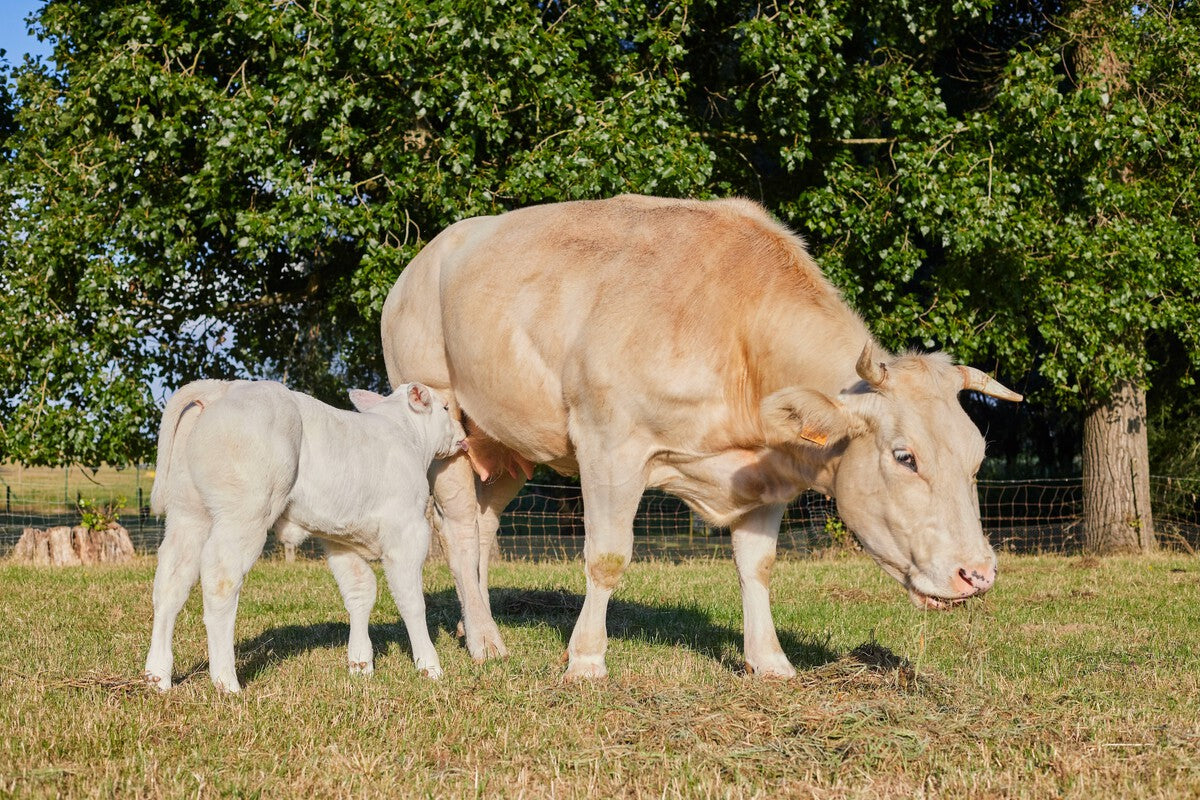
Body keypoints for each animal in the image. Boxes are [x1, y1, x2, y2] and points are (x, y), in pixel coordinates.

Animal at [144, 379, 466, 692]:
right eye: (446, 407)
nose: (463, 436)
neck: (407, 436)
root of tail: (223, 387)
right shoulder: (407, 531)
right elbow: (411, 601)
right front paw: (429, 666)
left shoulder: (340, 540)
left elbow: (360, 591)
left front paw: (360, 664)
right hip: (244, 513)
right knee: (220, 579)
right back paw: (226, 681)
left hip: (188, 514)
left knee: (171, 582)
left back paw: (158, 676)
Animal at [380, 194, 1022, 680]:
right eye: (905, 456)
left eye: (977, 458)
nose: (979, 574)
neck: (737, 334)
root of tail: (422, 262)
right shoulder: (609, 445)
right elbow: (606, 557)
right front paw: (585, 660)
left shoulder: (765, 471)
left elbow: (757, 565)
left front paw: (770, 662)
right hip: (443, 416)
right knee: (461, 530)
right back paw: (485, 641)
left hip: (507, 444)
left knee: (485, 526)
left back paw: (475, 623)